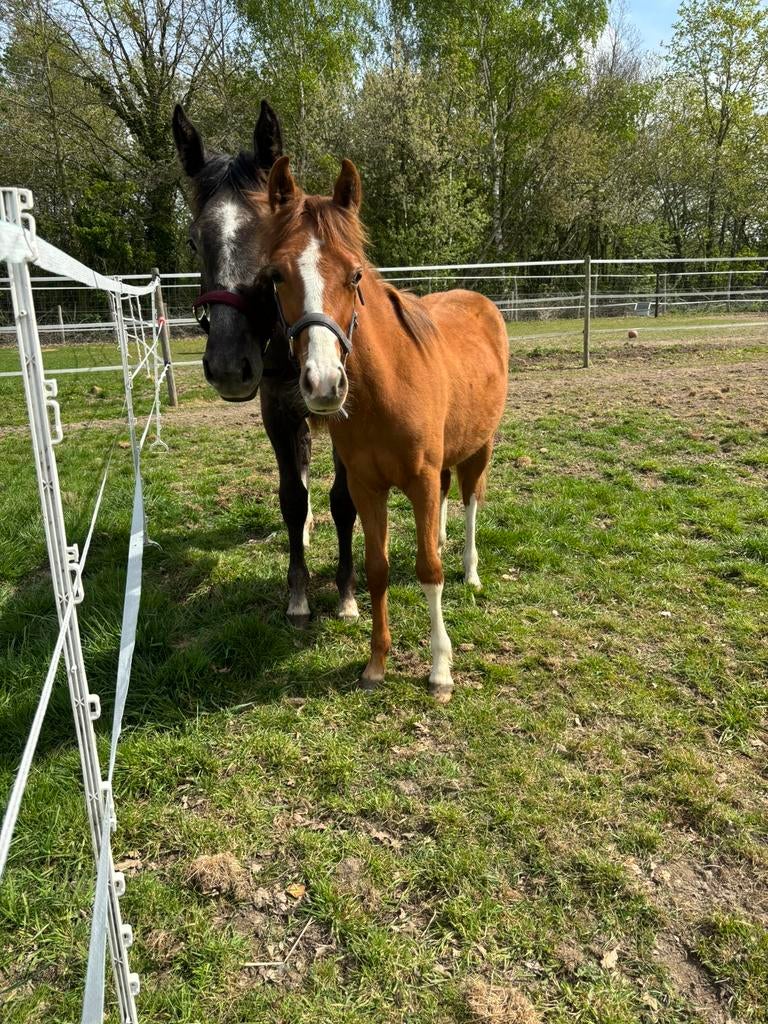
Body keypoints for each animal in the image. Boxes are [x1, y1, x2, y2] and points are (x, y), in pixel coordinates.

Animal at [172, 103, 358, 626]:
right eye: (194, 241)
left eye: (270, 234)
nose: (228, 365)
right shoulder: (277, 412)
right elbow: (292, 498)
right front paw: (297, 594)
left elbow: (344, 501)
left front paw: (345, 593)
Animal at [259, 156, 509, 702]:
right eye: (277, 275)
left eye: (354, 274)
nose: (323, 382)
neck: (387, 388)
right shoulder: (367, 486)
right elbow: (377, 570)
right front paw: (376, 663)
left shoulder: (417, 480)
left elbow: (428, 570)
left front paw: (440, 670)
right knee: (446, 501)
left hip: (479, 448)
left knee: (470, 501)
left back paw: (471, 571)